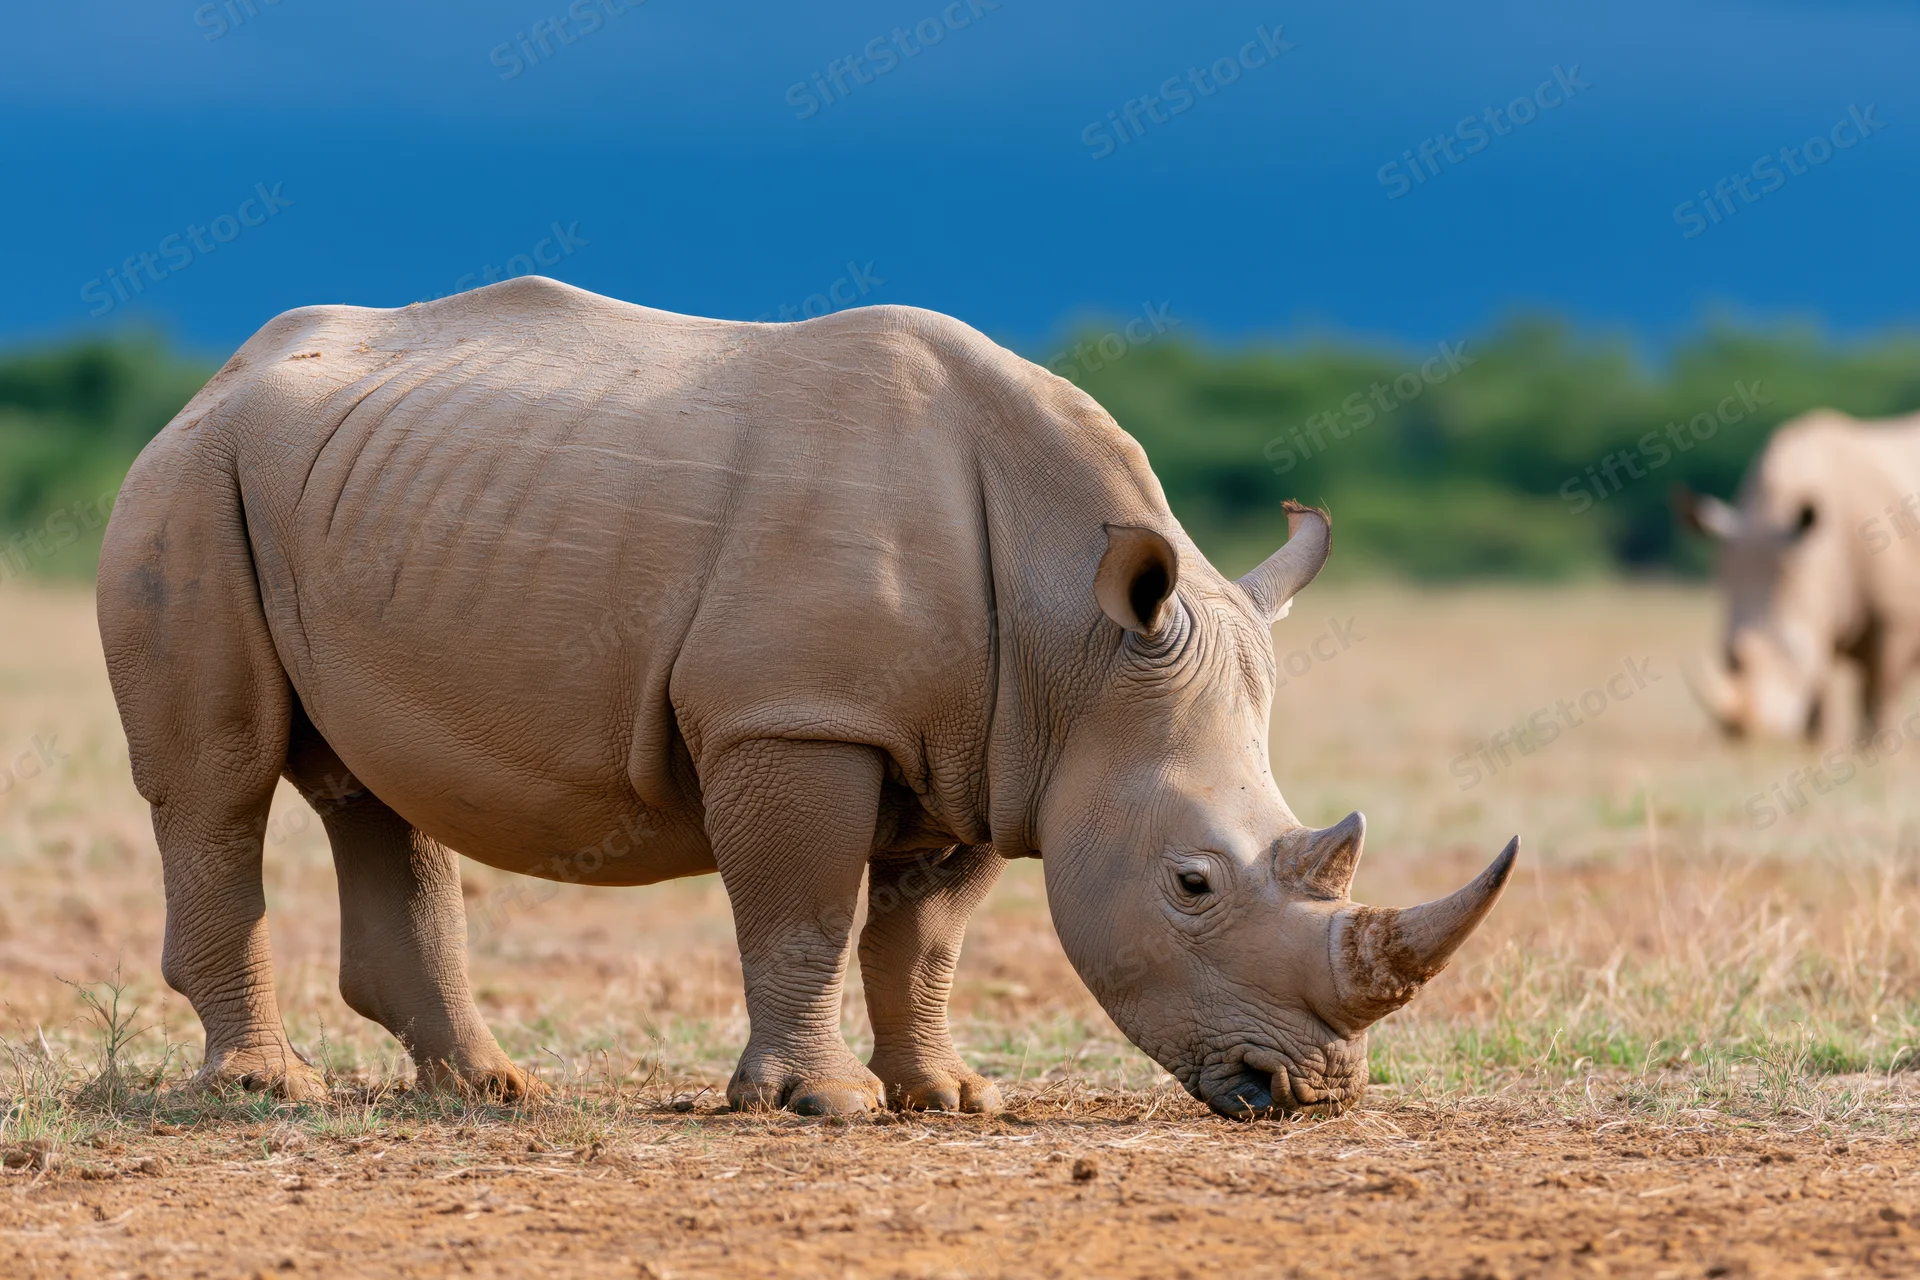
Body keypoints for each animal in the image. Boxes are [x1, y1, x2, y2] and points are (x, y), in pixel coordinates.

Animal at [97, 278, 1516, 1119]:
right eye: (1193, 883)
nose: (1313, 1088)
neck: (1078, 637)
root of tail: (214, 379)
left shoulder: (994, 748)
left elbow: (922, 937)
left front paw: (949, 1095)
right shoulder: (796, 715)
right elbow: (806, 911)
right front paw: (821, 1106)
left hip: (337, 484)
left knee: (375, 791)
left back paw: (494, 1090)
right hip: (189, 482)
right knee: (219, 783)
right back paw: (266, 1090)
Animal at [1677, 409, 1920, 740]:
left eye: (1792, 651)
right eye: (1728, 655)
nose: (1746, 735)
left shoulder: (1895, 620)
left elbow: (1881, 692)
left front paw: (1877, 746)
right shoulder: (1816, 609)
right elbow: (1821, 694)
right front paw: (1816, 743)